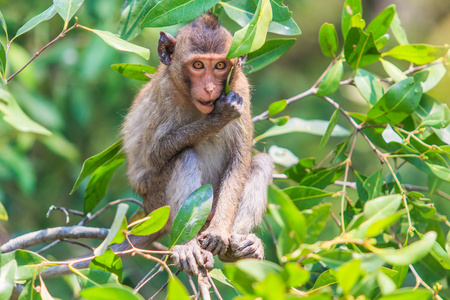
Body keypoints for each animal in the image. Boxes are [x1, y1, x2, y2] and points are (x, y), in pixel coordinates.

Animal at [120, 14, 274, 276]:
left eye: (220, 66)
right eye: (198, 65)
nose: (210, 88)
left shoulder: (240, 89)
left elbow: (240, 159)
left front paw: (219, 233)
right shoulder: (165, 93)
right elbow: (153, 155)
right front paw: (218, 118)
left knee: (261, 162)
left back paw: (239, 246)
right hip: (158, 203)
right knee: (185, 156)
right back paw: (187, 246)